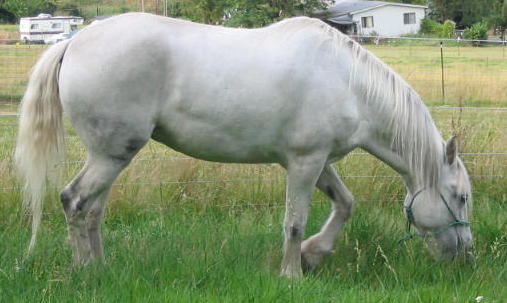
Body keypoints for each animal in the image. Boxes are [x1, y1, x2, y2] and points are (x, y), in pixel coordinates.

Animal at [16, 14, 476, 280]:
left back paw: (101, 266)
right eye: (460, 196)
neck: (349, 83)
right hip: (111, 154)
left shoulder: (318, 161)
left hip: (110, 157)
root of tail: (73, 41)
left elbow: (345, 204)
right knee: (74, 201)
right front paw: (291, 274)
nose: (465, 253)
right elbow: (294, 222)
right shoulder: (305, 163)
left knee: (92, 210)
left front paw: (312, 256)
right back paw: (85, 270)